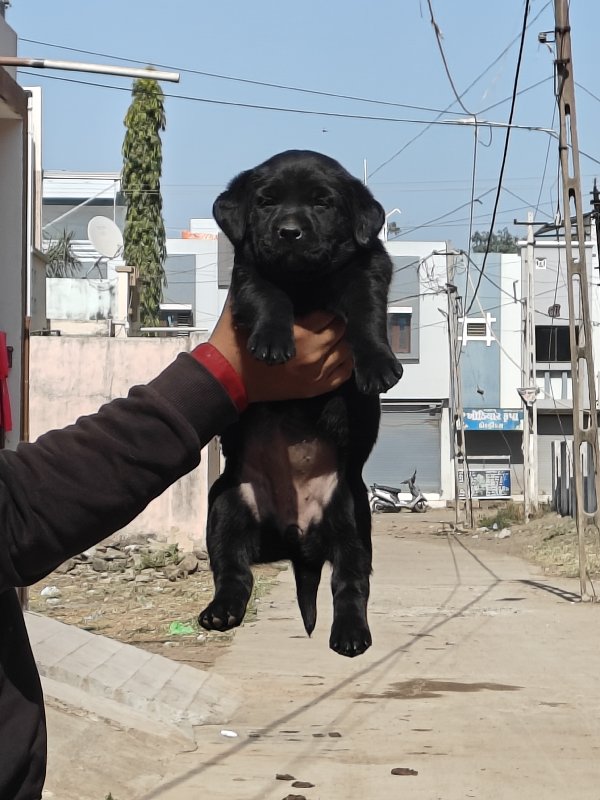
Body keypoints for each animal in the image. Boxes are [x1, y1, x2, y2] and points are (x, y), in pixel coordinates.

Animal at [198, 150, 404, 656]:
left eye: (323, 203)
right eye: (266, 202)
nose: (289, 231)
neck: (306, 282)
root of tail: (297, 543)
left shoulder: (369, 269)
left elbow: (367, 314)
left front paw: (377, 365)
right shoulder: (249, 273)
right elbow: (268, 296)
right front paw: (272, 341)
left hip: (352, 518)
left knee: (350, 583)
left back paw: (351, 634)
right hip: (227, 502)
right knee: (232, 568)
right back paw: (221, 611)